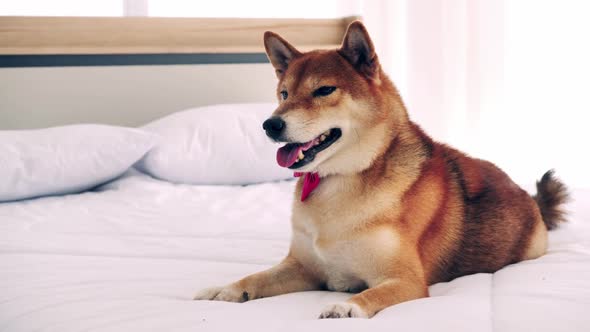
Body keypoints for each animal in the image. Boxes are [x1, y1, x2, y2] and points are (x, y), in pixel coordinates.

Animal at [197, 20, 572, 320]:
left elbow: (370, 294)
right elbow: (256, 277)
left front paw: (346, 306)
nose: (270, 124)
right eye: (284, 94)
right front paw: (227, 289)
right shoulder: (302, 268)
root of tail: (531, 199)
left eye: (324, 90)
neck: (338, 182)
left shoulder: (406, 280)